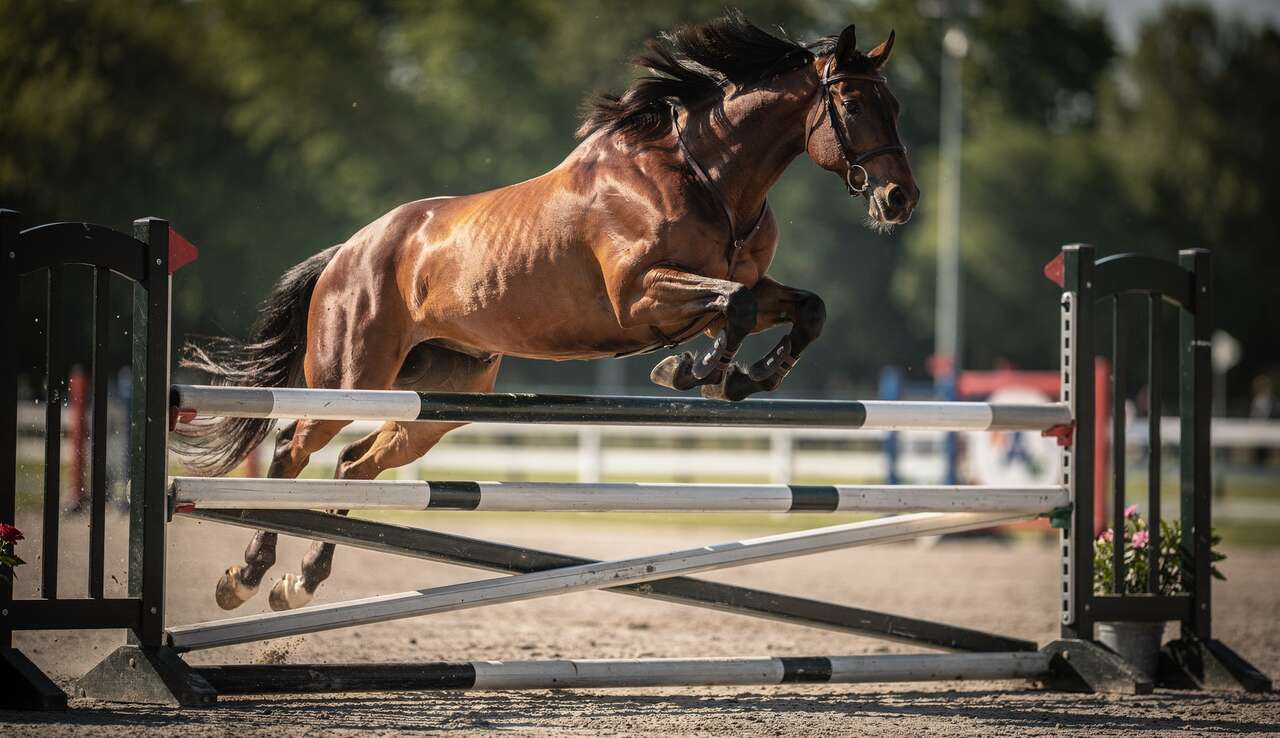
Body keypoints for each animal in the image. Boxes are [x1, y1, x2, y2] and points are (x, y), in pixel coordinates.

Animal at [178, 11, 919, 612]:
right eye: (855, 102)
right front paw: (696, 372)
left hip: (441, 397)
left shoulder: (742, 284)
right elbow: (730, 309)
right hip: (352, 376)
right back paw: (247, 576)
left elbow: (805, 309)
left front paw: (741, 379)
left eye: (896, 105)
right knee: (290, 446)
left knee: (357, 465)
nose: (900, 200)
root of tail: (348, 249)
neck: (708, 178)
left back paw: (301, 580)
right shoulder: (640, 295)